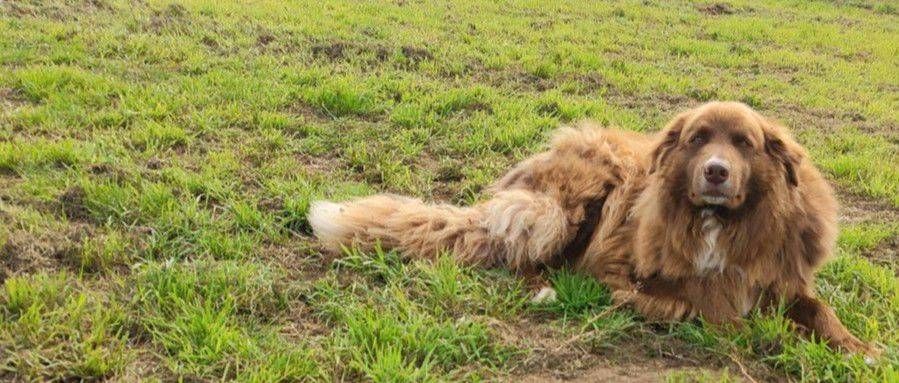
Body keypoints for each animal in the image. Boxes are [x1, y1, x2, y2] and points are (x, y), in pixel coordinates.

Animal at [310, 103, 880, 360]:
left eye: (744, 143)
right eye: (698, 139)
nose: (716, 172)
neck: (720, 223)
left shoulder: (782, 279)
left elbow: (820, 311)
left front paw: (857, 347)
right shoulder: (624, 270)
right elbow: (712, 308)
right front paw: (776, 340)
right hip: (565, 205)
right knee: (522, 251)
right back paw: (543, 289)